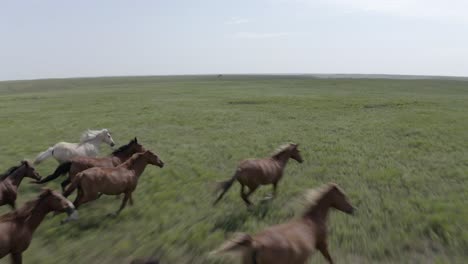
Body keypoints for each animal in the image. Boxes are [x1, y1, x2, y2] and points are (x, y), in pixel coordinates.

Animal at [212, 184, 354, 264]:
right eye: (343, 195)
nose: (353, 209)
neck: (312, 220)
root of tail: (254, 243)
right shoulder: (322, 245)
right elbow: (330, 259)